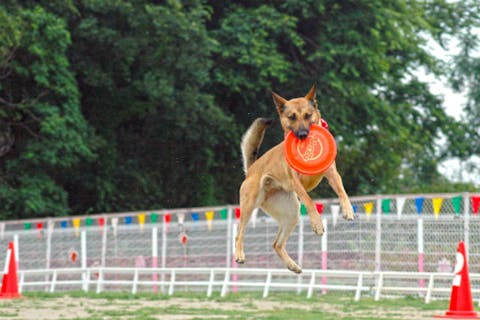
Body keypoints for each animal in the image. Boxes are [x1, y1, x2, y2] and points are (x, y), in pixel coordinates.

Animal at [234, 85, 354, 276]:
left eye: (307, 115)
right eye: (291, 117)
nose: (303, 135)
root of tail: (251, 169)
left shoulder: (332, 173)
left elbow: (342, 191)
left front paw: (348, 210)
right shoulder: (296, 181)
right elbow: (309, 201)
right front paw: (317, 224)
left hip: (291, 213)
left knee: (276, 244)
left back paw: (293, 266)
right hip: (249, 206)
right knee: (239, 233)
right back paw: (239, 255)